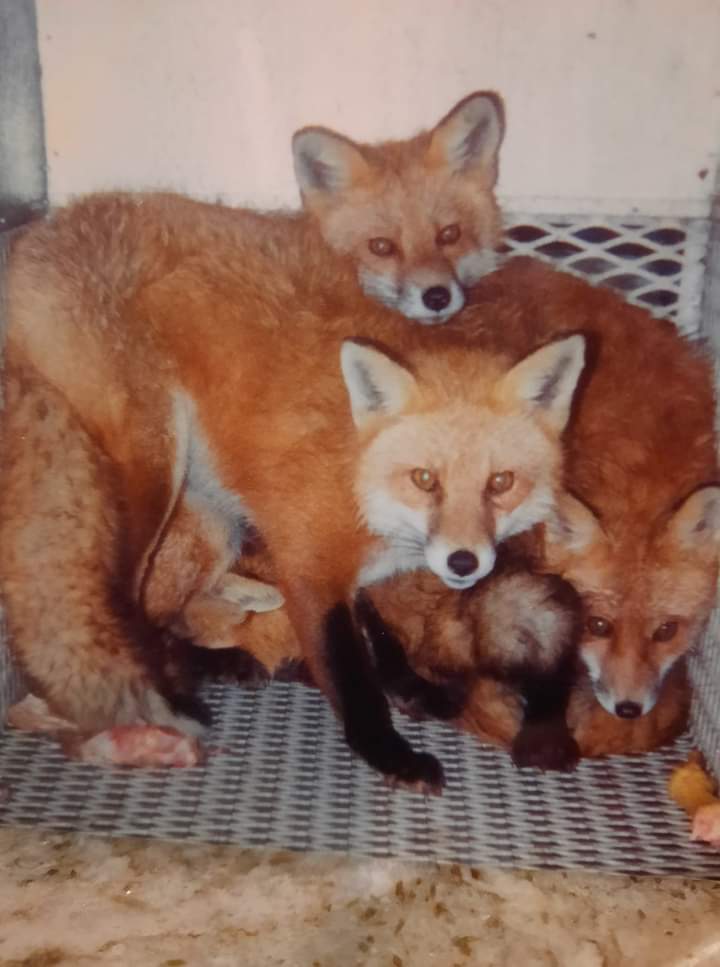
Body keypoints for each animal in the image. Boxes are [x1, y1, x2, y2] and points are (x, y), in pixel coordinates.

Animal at [0, 192, 584, 788]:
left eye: (500, 483)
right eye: (425, 479)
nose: (464, 563)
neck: (357, 473)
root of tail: (46, 229)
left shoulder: (341, 564)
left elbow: (379, 635)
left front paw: (410, 687)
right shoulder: (309, 564)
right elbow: (352, 677)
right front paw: (388, 752)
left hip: (215, 521)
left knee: (166, 615)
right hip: (152, 475)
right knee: (116, 613)